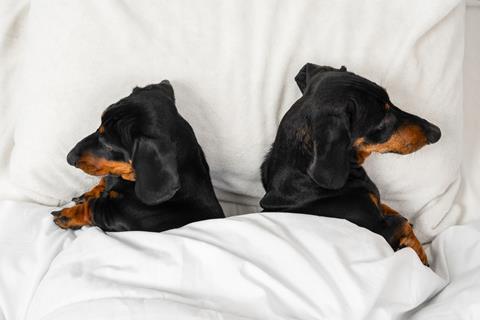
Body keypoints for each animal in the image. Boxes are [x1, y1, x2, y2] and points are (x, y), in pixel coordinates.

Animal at [51, 80, 224, 230]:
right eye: (99, 126)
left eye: (108, 145)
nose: (69, 158)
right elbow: (105, 181)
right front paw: (89, 193)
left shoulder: (117, 214)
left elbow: (93, 207)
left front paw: (67, 215)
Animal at [260, 63, 440, 264]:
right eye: (382, 121)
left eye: (390, 102)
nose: (436, 132)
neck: (306, 179)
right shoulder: (379, 229)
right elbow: (403, 224)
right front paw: (422, 258)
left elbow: (391, 209)